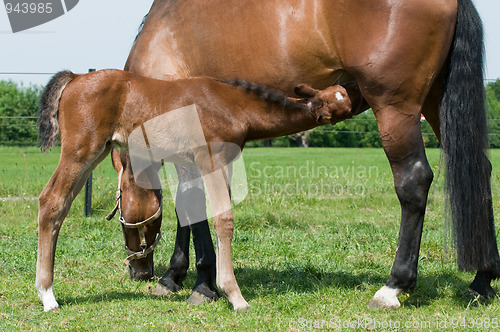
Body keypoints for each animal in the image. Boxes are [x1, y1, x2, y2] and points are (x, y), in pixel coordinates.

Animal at [124, 0, 500, 310]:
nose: (137, 271)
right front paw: (182, 277)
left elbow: (190, 204)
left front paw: (194, 281)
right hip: (435, 101)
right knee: (479, 170)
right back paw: (482, 279)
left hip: (395, 107)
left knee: (414, 181)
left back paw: (393, 286)